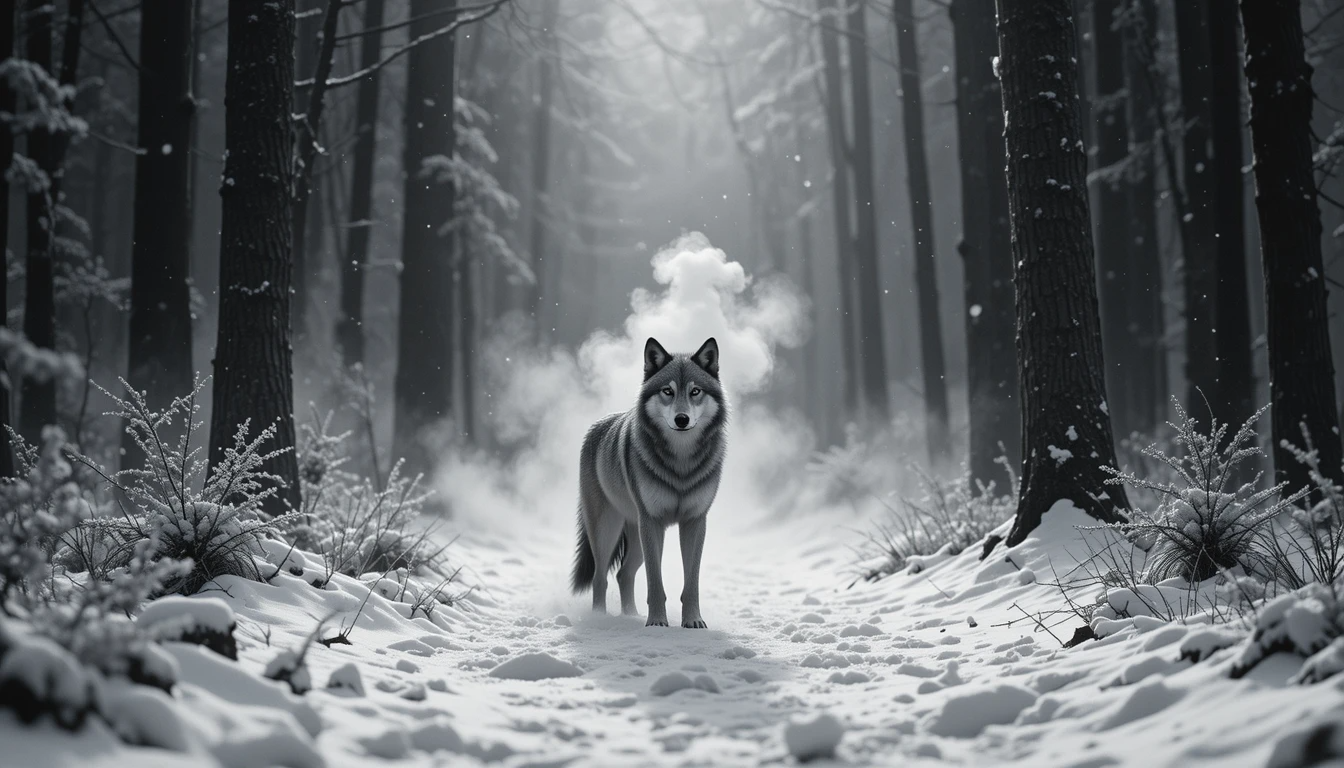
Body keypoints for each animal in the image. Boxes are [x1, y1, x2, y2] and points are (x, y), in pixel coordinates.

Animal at [570, 337, 727, 628]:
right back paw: (600, 619)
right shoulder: (652, 522)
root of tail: (599, 424)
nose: (681, 419)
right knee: (600, 577)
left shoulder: (695, 521)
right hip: (609, 531)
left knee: (623, 574)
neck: (681, 464)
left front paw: (693, 621)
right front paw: (656, 623)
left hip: (636, 536)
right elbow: (655, 581)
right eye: (667, 391)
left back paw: (631, 615)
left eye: (695, 391)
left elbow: (692, 582)